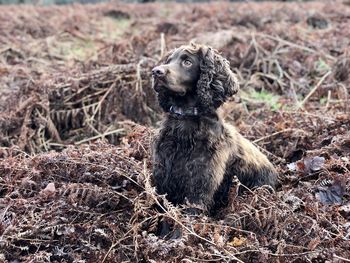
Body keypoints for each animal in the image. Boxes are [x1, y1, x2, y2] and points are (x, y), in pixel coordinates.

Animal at [152, 43, 278, 216]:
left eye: (187, 62)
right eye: (169, 60)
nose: (155, 71)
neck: (185, 123)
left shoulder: (200, 183)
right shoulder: (164, 174)